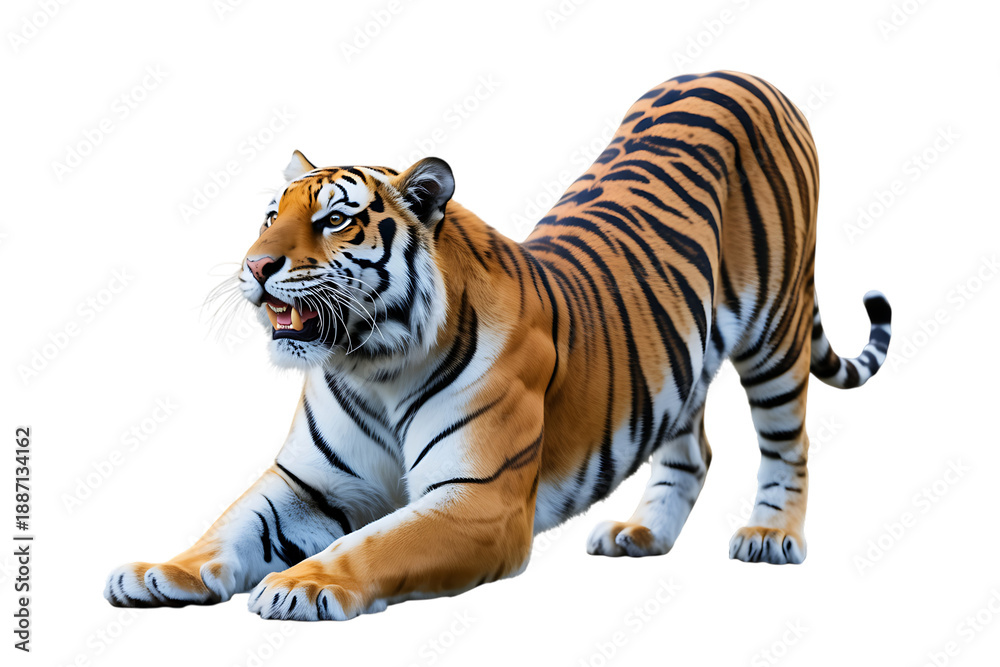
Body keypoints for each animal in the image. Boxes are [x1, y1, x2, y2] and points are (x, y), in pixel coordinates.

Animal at [104, 70, 891, 621]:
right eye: (270, 216)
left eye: (333, 220)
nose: (256, 265)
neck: (372, 364)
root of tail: (740, 73)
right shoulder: (309, 481)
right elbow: (230, 525)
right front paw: (160, 571)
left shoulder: (478, 499)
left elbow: (375, 541)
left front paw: (301, 583)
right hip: (681, 355)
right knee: (692, 449)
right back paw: (641, 532)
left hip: (776, 326)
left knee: (789, 440)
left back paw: (770, 536)